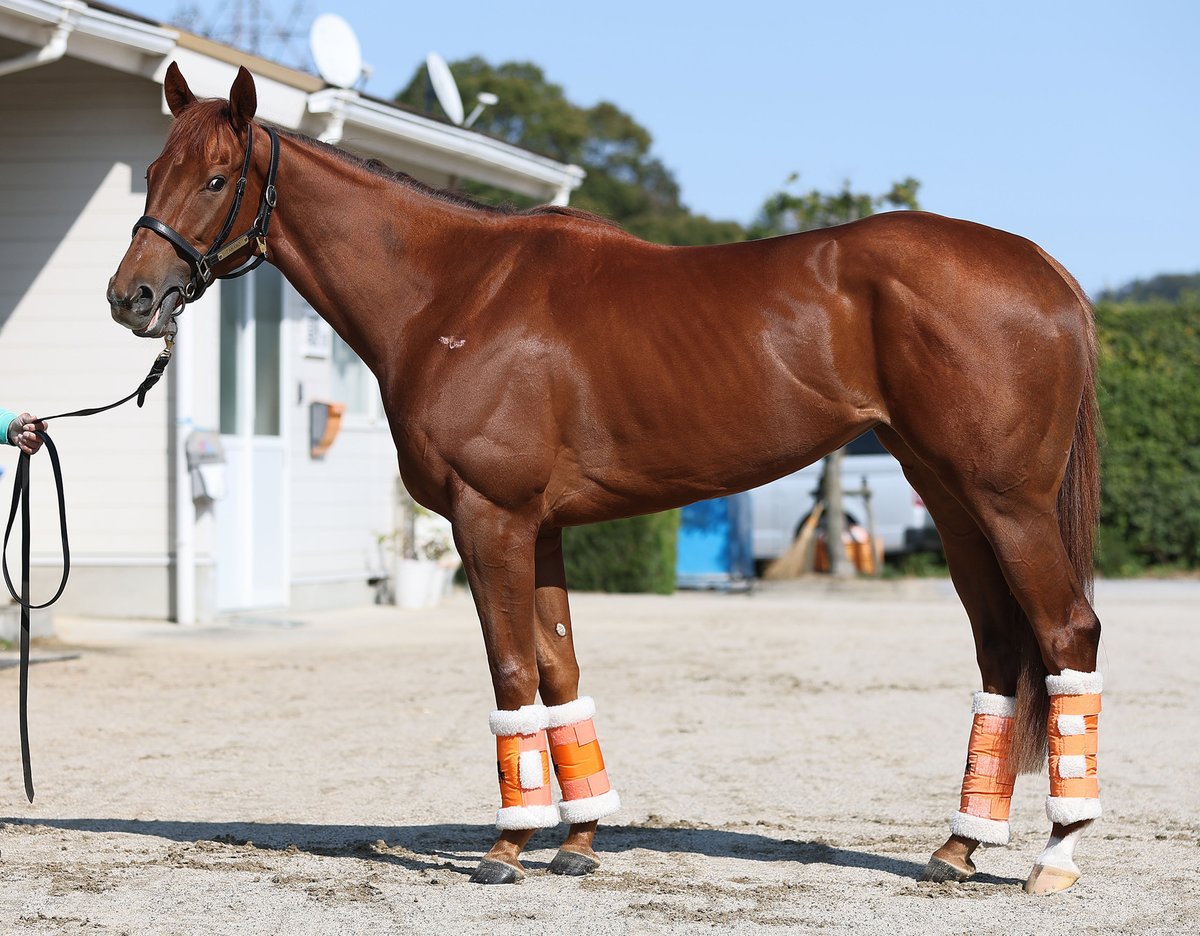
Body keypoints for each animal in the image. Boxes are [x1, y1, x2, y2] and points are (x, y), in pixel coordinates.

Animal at [107, 64, 1103, 894]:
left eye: (216, 177)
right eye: (151, 169)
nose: (131, 298)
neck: (455, 294)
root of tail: (1045, 268)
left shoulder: (490, 519)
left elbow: (512, 670)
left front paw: (508, 846)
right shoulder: (540, 527)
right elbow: (560, 668)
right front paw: (579, 840)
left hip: (1007, 504)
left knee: (1067, 633)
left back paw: (1056, 854)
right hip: (954, 501)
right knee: (1001, 651)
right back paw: (959, 846)